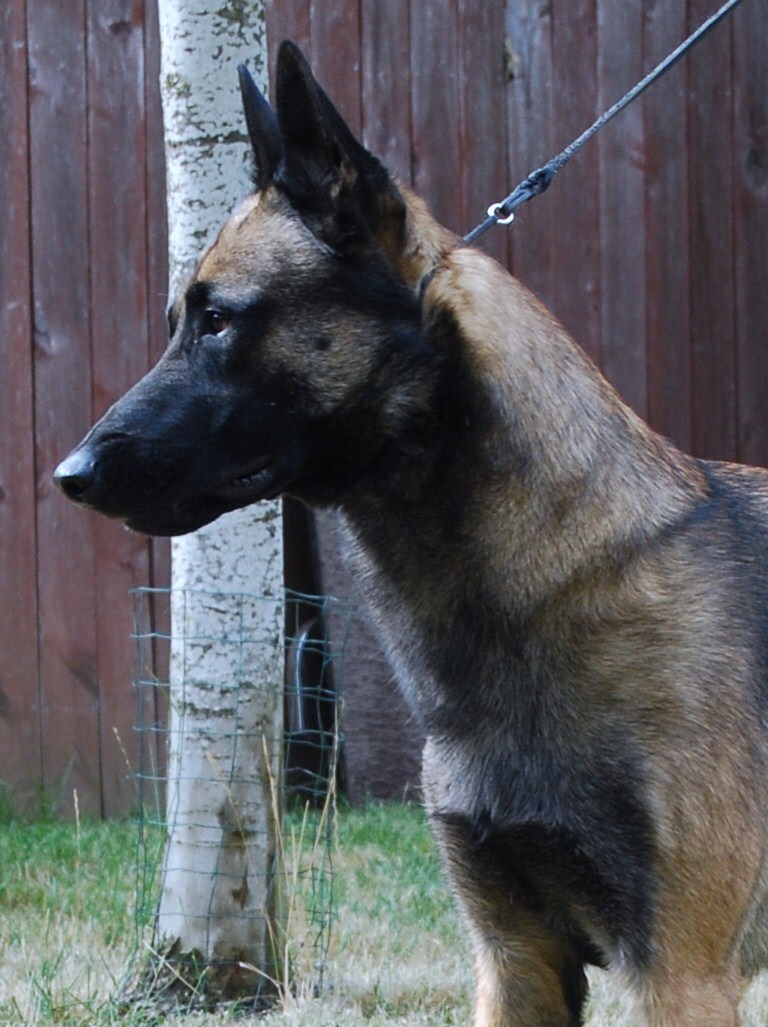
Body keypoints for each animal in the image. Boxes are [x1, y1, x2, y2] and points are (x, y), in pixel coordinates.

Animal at [55, 41, 768, 1026]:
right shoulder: (515, 960)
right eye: (179, 324)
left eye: (219, 320)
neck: (545, 582)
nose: (70, 475)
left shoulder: (680, 974)